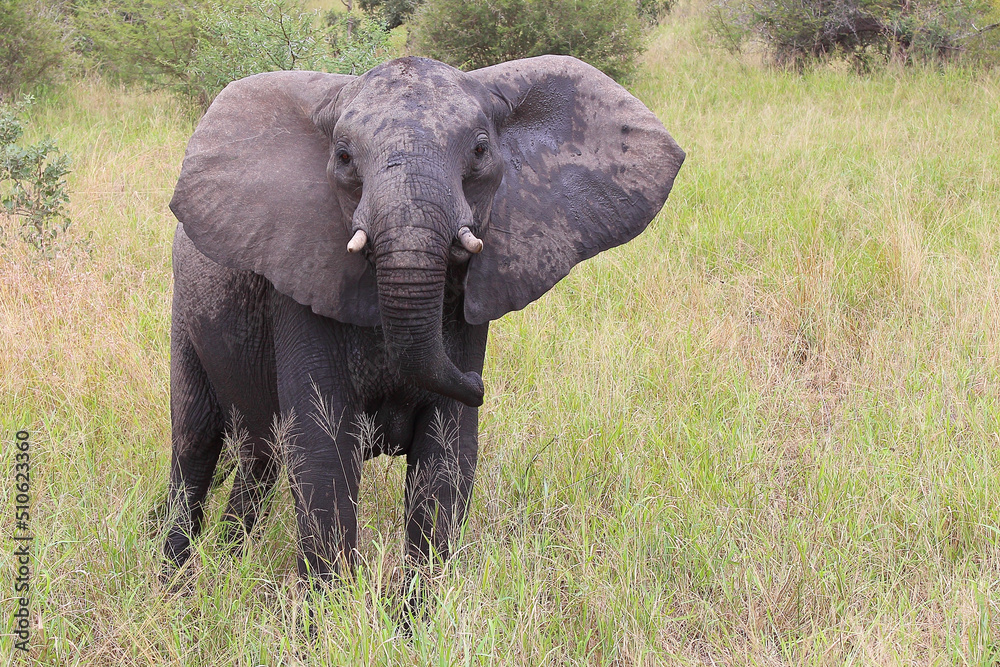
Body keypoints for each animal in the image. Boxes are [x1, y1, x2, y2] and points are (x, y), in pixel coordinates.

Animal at [164, 54, 688, 588]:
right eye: (344, 157)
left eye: (480, 150)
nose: (478, 384)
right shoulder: (298, 282)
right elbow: (322, 449)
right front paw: (329, 610)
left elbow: (447, 457)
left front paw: (415, 609)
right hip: (183, 314)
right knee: (196, 443)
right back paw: (175, 583)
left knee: (260, 457)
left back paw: (225, 563)